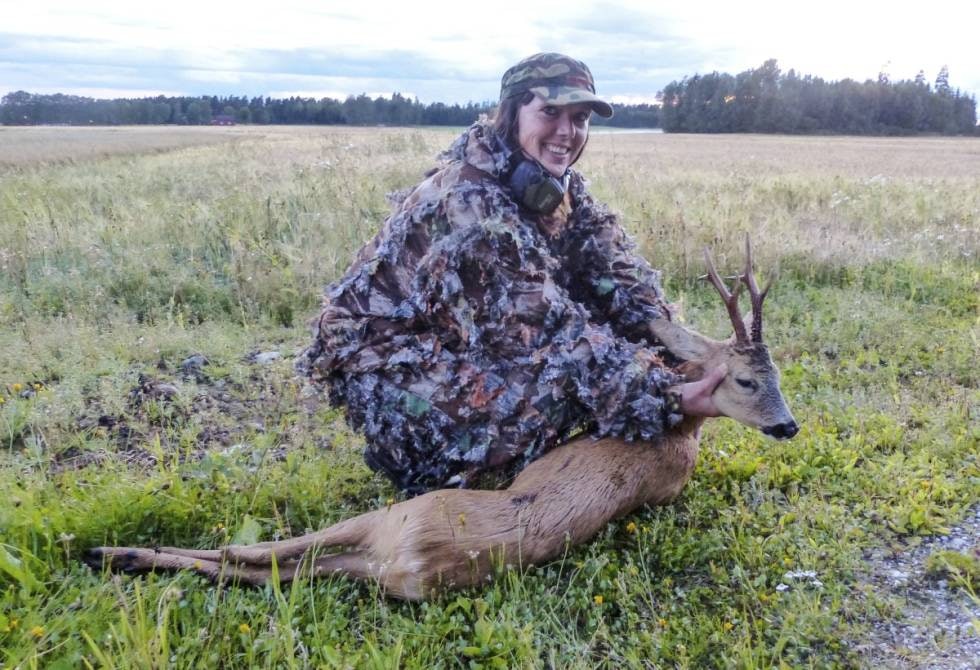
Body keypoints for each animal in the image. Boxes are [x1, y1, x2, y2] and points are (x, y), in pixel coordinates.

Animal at [88, 239, 800, 600]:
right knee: (271, 568)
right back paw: (121, 557)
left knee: (253, 552)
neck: (682, 434)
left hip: (397, 515)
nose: (789, 427)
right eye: (750, 379)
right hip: (376, 560)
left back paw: (111, 551)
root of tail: (412, 562)